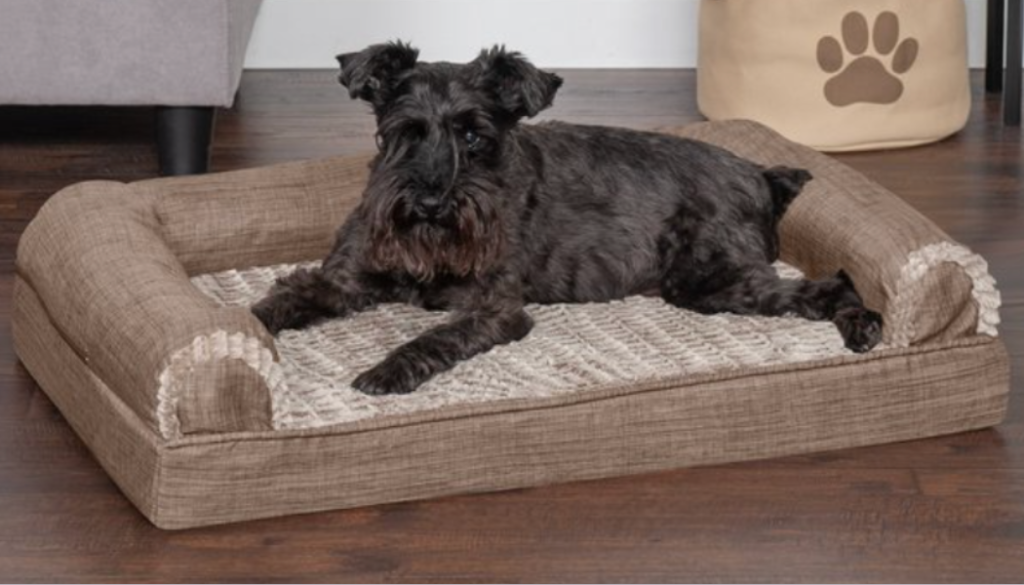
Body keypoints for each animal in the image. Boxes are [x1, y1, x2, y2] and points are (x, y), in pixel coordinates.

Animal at [251, 43, 884, 395]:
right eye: (403, 131)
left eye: (475, 135)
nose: (431, 203)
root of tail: (760, 174)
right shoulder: (343, 279)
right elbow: (273, 304)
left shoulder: (494, 310)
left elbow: (435, 335)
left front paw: (386, 371)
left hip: (711, 279)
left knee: (831, 283)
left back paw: (864, 327)